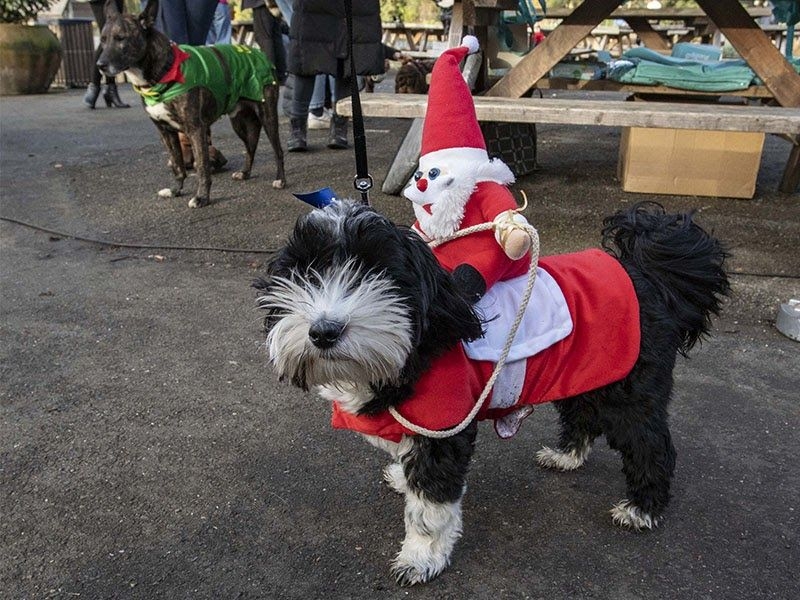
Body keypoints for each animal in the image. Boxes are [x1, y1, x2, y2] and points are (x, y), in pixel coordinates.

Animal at [96, 0, 284, 209]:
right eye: (103, 40)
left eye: (121, 38)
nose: (100, 65)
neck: (164, 71)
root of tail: (259, 54)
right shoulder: (166, 132)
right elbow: (178, 165)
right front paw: (175, 190)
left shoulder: (196, 129)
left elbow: (202, 167)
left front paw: (202, 197)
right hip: (240, 123)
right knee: (251, 147)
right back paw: (245, 173)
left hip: (267, 116)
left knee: (278, 150)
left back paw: (280, 179)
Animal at [253, 199, 728, 584]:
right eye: (305, 272)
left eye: (376, 272)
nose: (324, 331)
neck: (419, 343)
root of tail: (646, 275)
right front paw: (403, 478)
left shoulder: (444, 427)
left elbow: (430, 505)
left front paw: (421, 557)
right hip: (589, 370)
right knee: (582, 413)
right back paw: (567, 456)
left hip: (629, 393)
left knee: (651, 445)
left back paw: (643, 507)